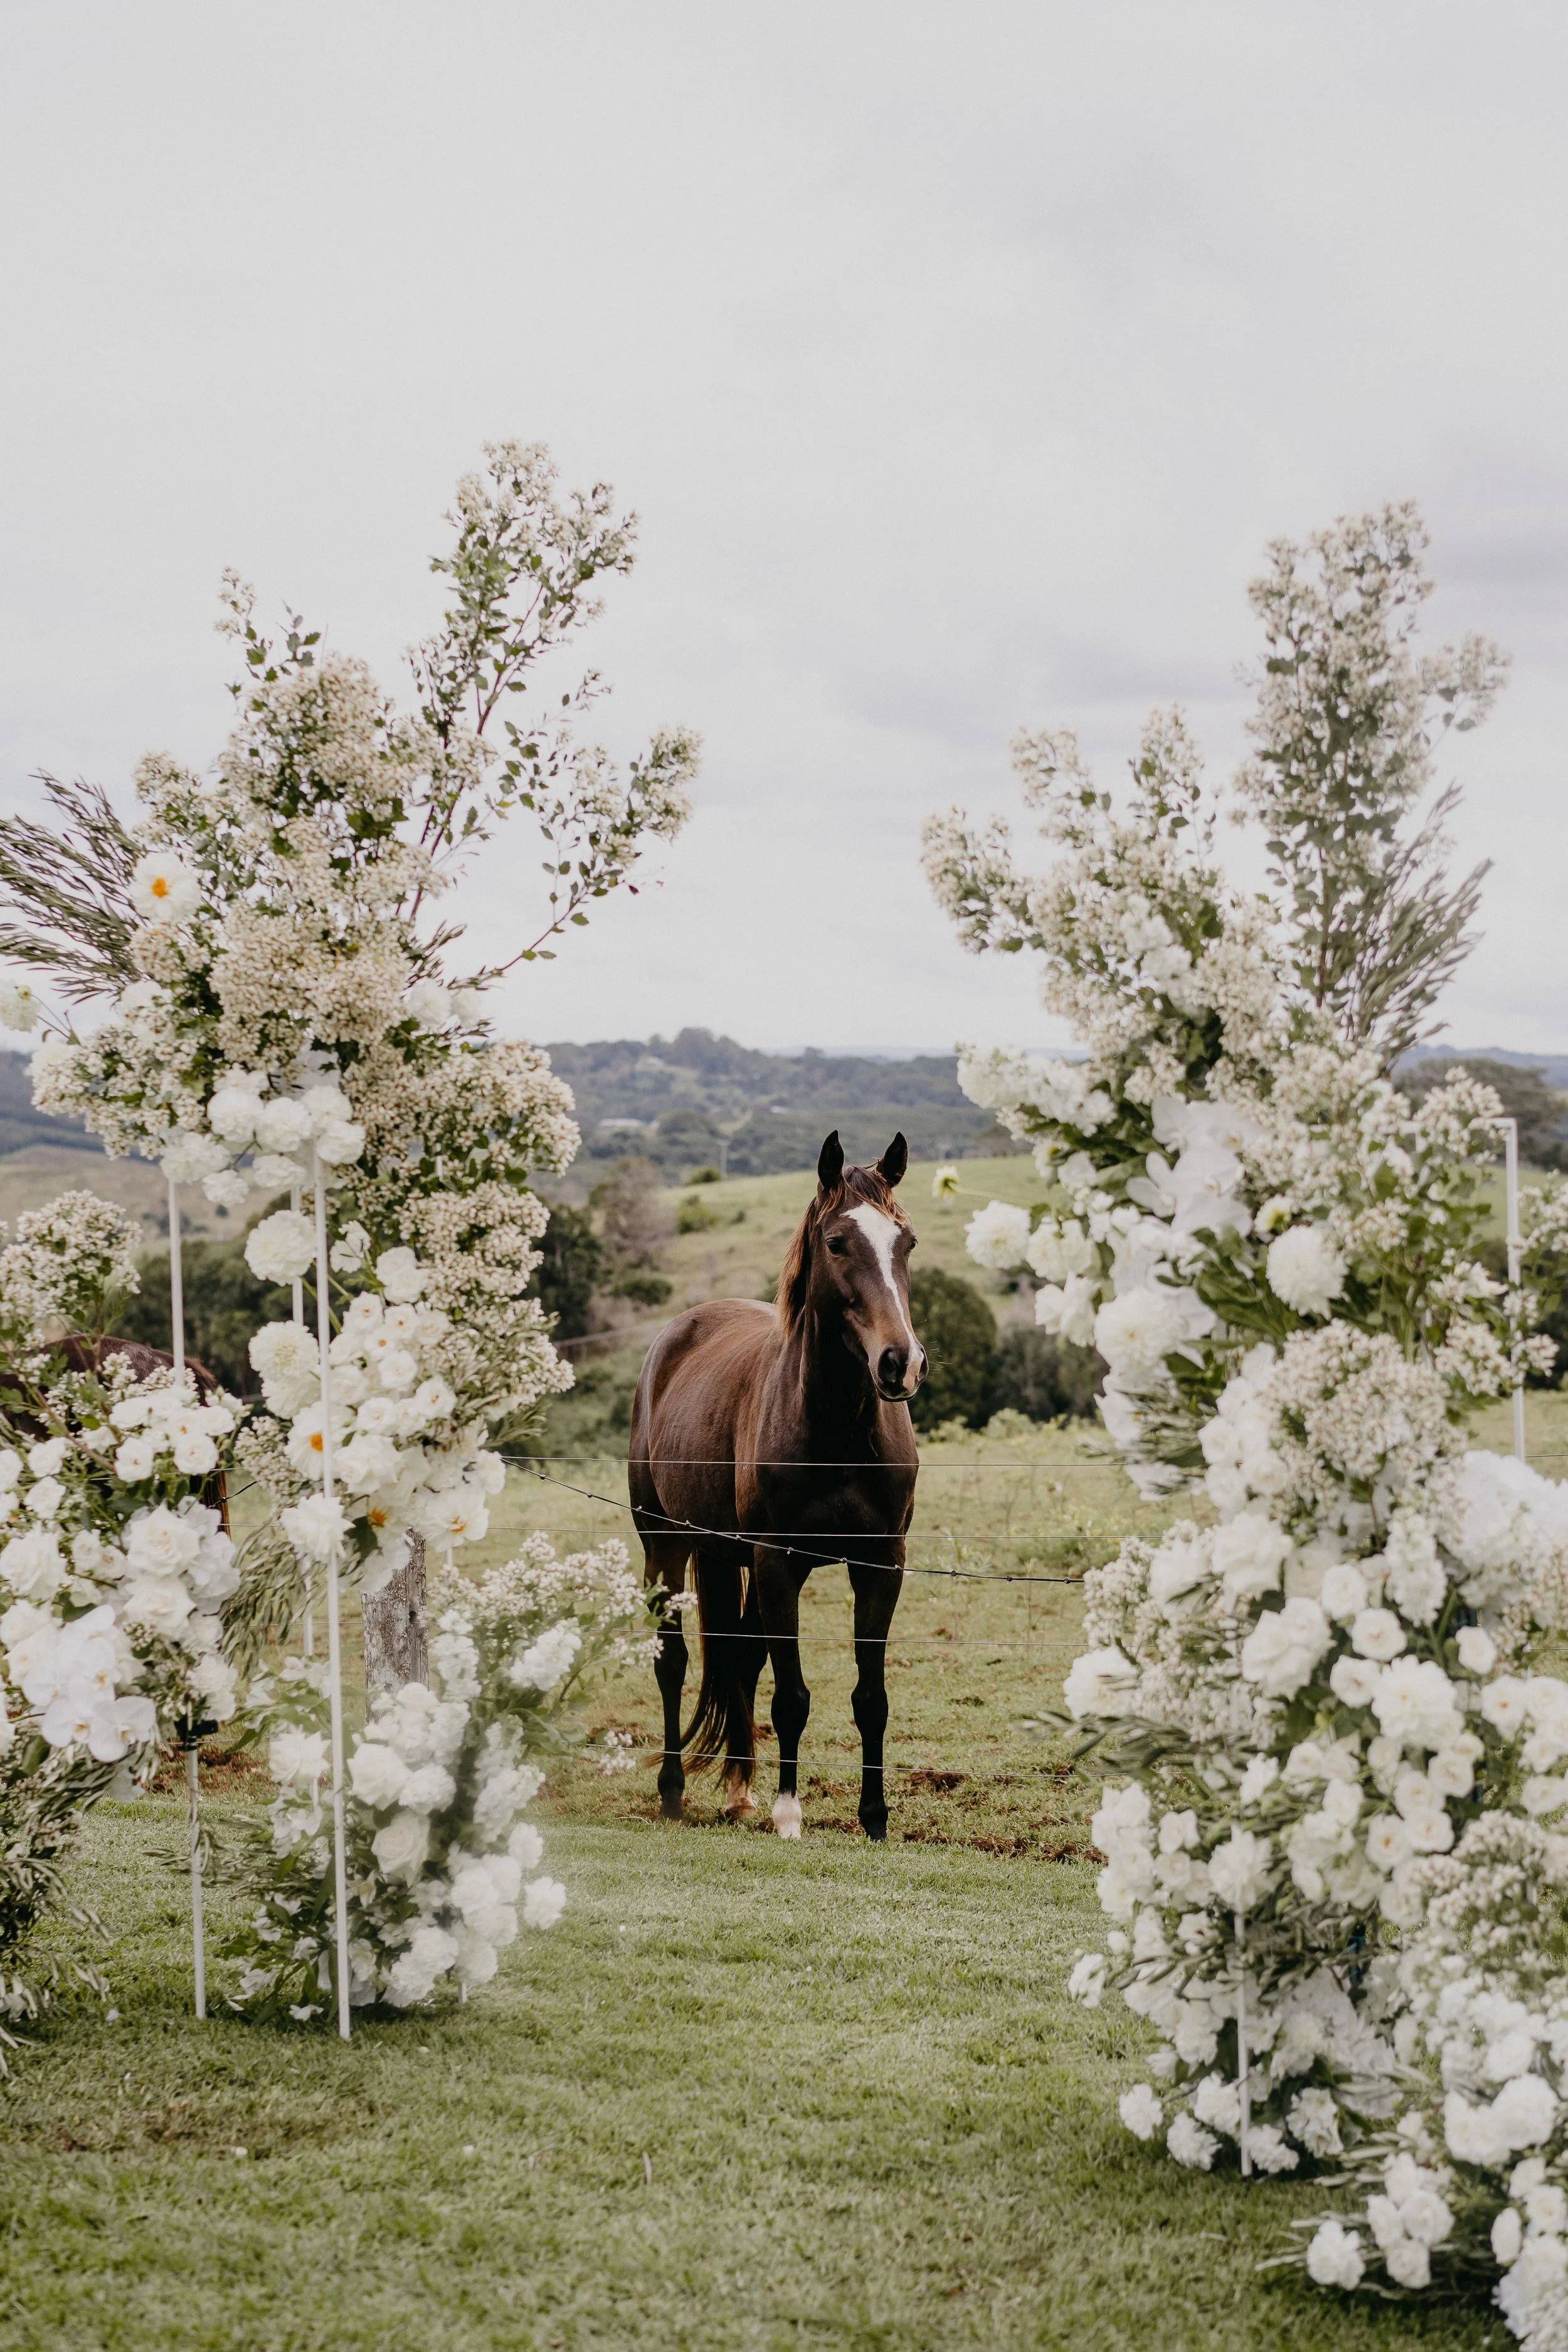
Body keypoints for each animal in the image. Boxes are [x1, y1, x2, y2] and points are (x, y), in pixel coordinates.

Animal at [628, 1130, 926, 1841]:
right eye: (837, 1243)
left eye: (906, 1243)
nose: (901, 1363)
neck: (837, 1431)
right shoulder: (777, 1563)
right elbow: (791, 1697)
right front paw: (790, 1813)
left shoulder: (881, 1565)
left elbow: (870, 1698)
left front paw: (875, 1818)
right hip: (666, 1546)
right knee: (673, 1663)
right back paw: (673, 1791)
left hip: (724, 1555)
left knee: (740, 1658)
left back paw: (738, 1794)